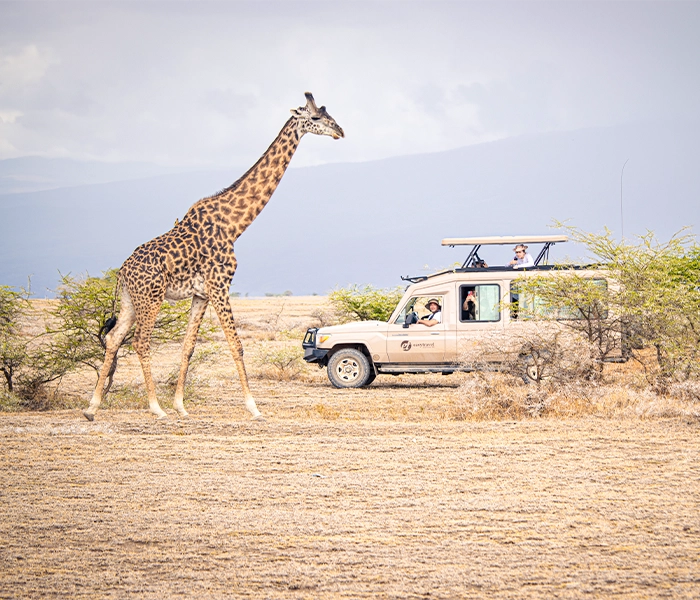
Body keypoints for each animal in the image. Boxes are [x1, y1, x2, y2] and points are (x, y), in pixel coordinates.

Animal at [83, 92, 344, 421]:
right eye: (316, 117)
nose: (340, 131)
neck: (234, 225)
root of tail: (122, 271)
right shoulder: (220, 285)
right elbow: (236, 345)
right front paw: (253, 407)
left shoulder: (201, 294)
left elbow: (188, 347)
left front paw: (181, 406)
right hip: (151, 298)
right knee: (141, 342)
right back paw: (155, 407)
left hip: (131, 300)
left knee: (115, 337)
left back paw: (92, 407)